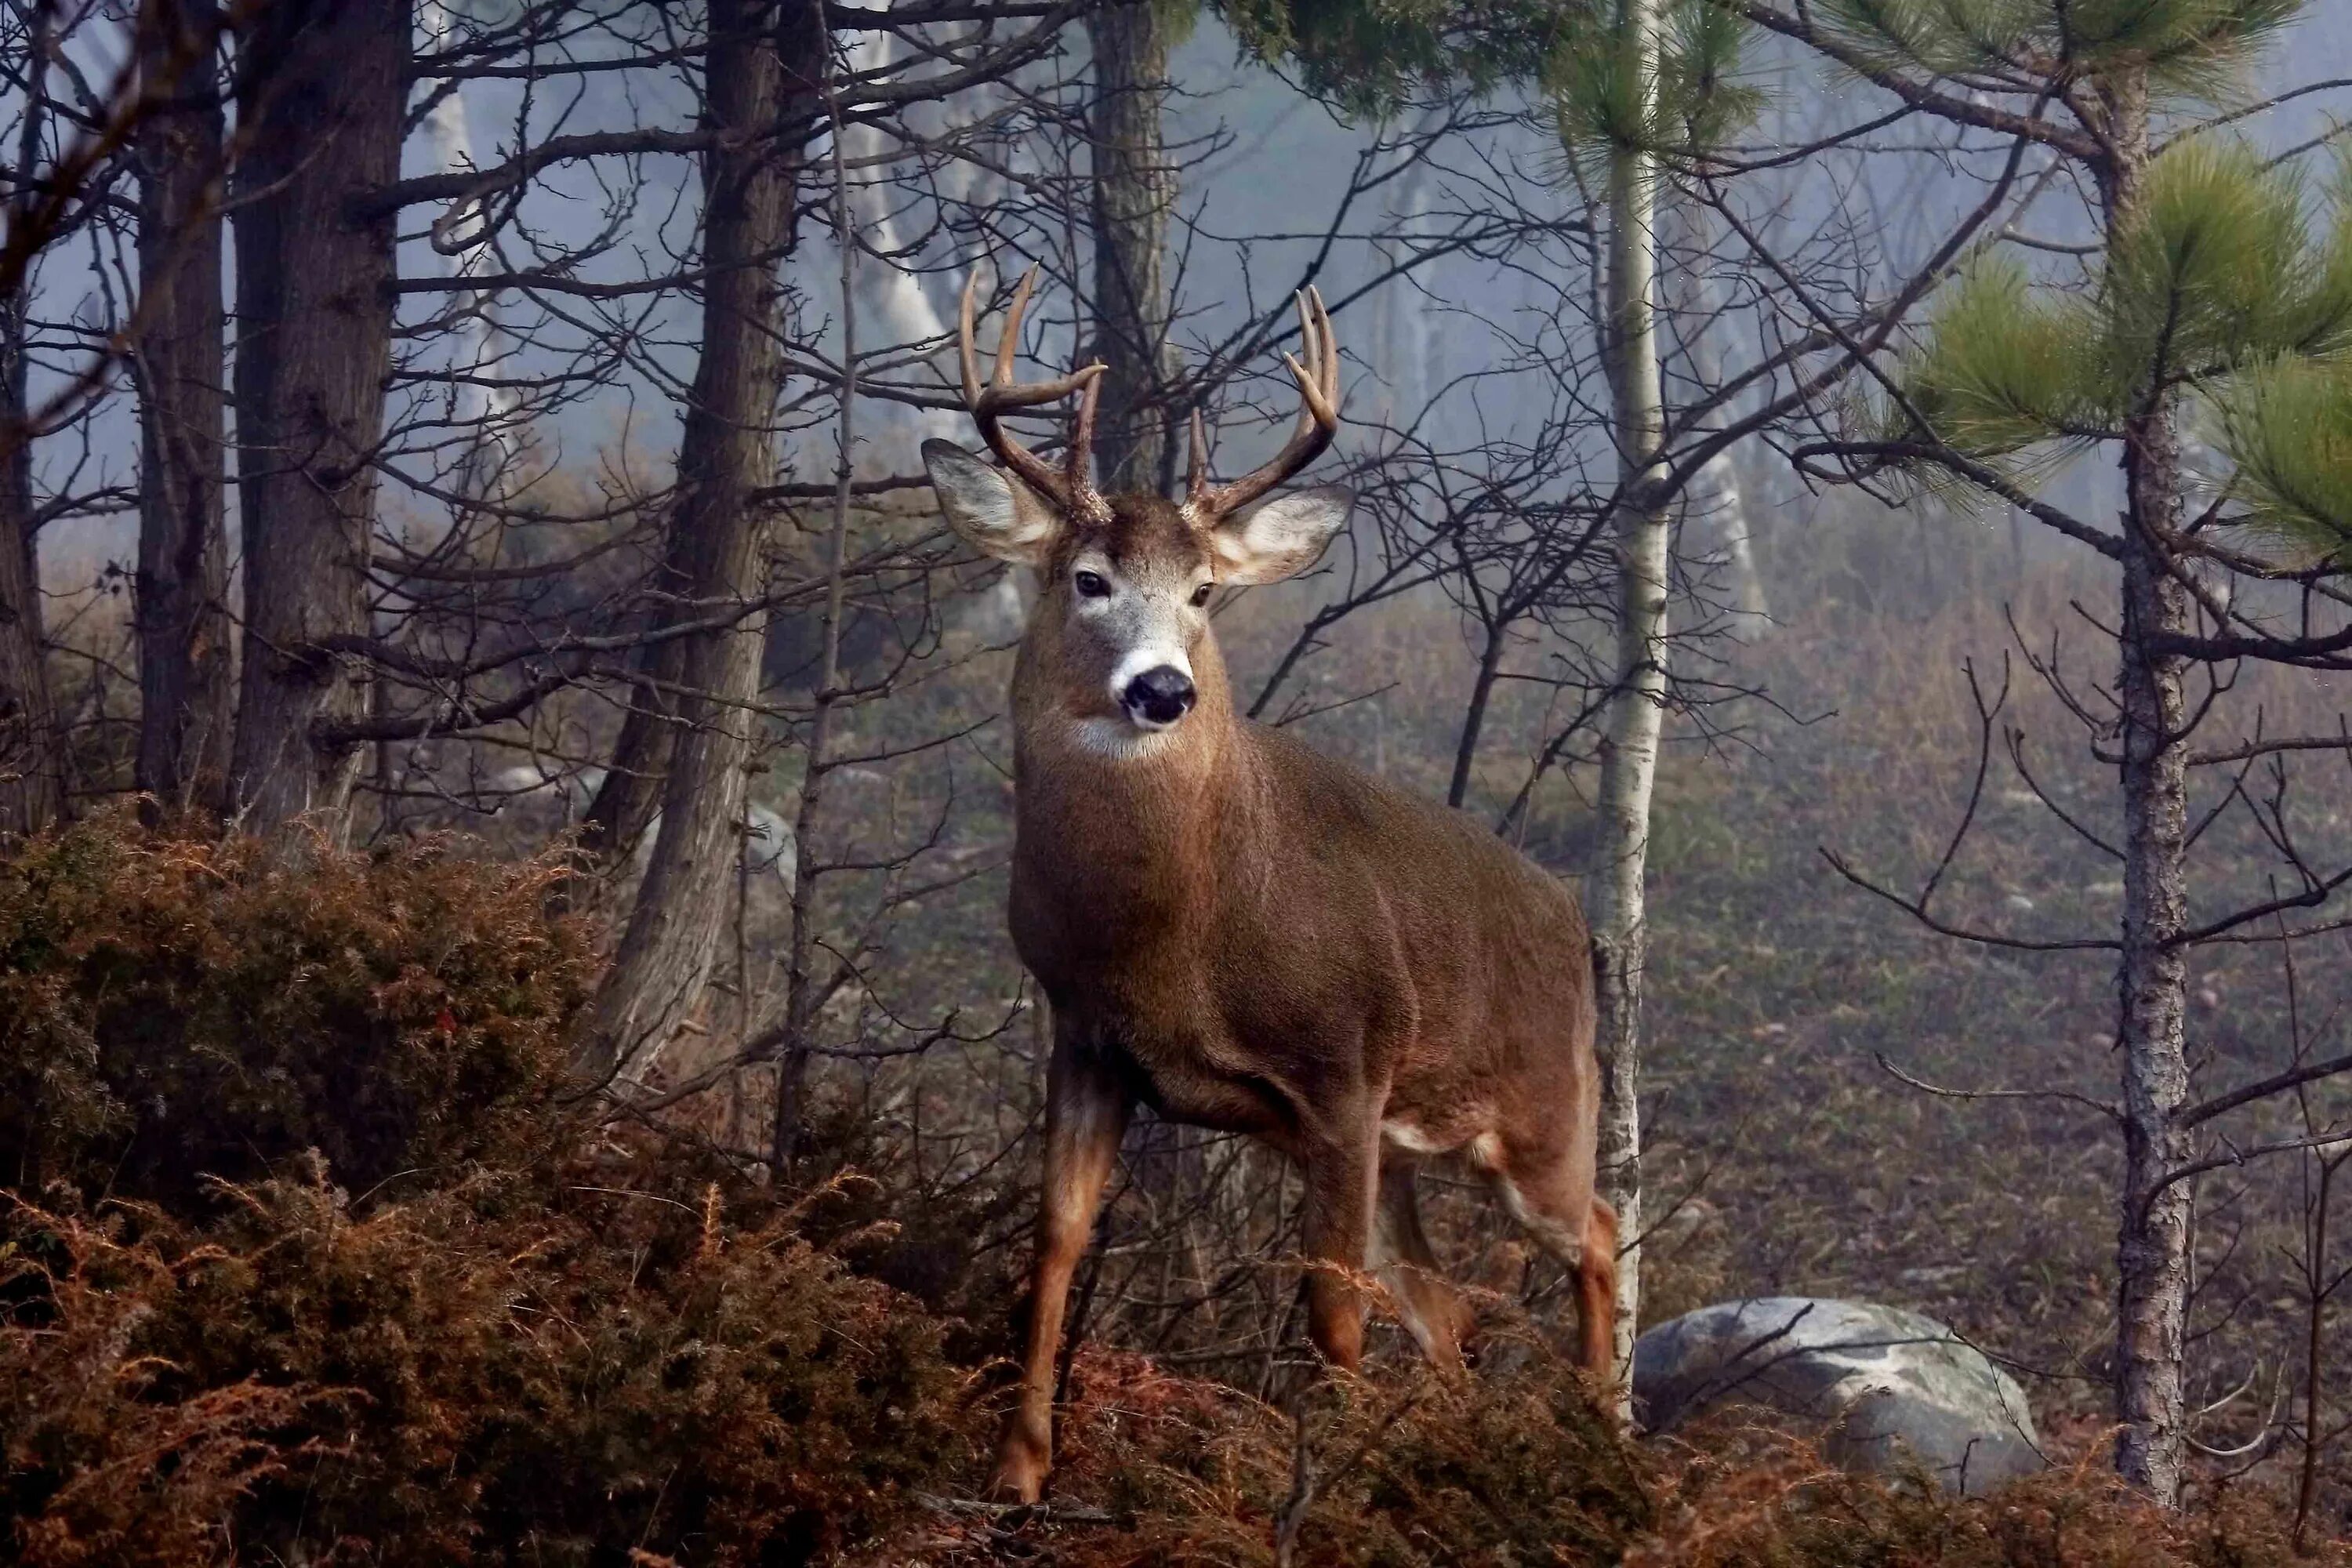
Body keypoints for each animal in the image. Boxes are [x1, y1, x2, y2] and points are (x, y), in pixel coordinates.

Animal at [917, 272, 1618, 1504]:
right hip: (1409, 1145)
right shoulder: (1088, 1038)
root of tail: (1573, 918)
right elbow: (1055, 1245)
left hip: (1540, 1107)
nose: (1162, 689)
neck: (1174, 941)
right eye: (1088, 579)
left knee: (1599, 1233)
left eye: (1203, 590)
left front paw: (1317, 1493)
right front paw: (1018, 1468)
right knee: (1448, 1304)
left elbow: (1331, 1308)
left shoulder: (1340, 1068)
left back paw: (1610, 1442)